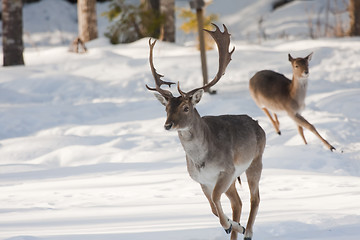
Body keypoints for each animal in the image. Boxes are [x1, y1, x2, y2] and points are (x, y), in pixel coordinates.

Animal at [145, 23, 266, 240]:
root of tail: (259, 125)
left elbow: (217, 201)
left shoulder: (227, 170)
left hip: (255, 161)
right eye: (166, 108)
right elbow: (212, 207)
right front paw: (232, 225)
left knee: (255, 197)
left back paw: (248, 231)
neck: (201, 161)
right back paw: (239, 228)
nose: (168, 125)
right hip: (236, 177)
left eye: (186, 107)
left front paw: (230, 225)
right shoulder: (201, 180)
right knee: (238, 202)